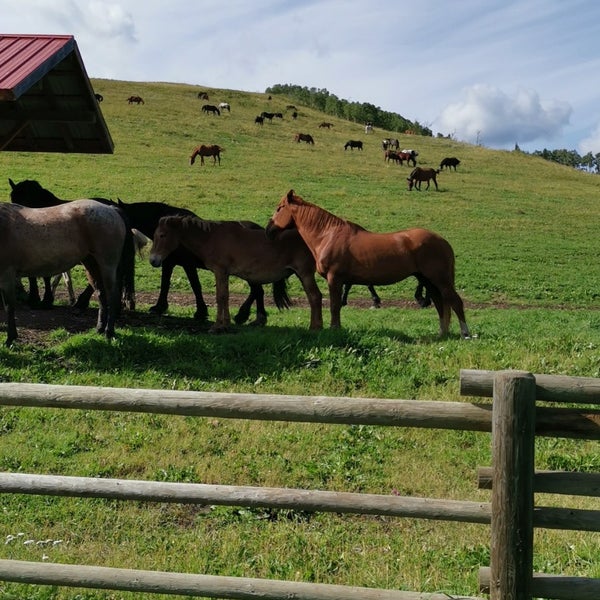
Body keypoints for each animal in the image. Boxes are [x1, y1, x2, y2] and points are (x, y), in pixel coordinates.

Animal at [0, 200, 127, 344]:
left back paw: (109, 332)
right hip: (91, 265)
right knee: (101, 295)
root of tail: (111, 210)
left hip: (107, 265)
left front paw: (10, 338)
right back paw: (99, 329)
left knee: (112, 296)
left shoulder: (7, 275)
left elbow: (9, 307)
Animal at [8, 177, 136, 310]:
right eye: (13, 198)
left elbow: (43, 276)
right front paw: (39, 298)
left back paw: (82, 301)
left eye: (29, 198)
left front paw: (41, 300)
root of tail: (115, 208)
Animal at [148, 216, 324, 330]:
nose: (153, 260)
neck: (211, 237)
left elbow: (221, 297)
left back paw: (315, 327)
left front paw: (218, 325)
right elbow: (223, 296)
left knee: (315, 296)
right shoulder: (223, 273)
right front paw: (224, 323)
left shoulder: (220, 271)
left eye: (162, 235)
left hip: (305, 274)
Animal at [264, 189, 472, 338]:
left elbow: (334, 305)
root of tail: (442, 241)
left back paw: (465, 333)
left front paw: (334, 328)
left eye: (279, 208)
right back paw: (442, 333)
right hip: (427, 280)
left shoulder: (335, 278)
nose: (268, 230)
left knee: (455, 301)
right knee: (440, 303)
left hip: (440, 279)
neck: (328, 235)